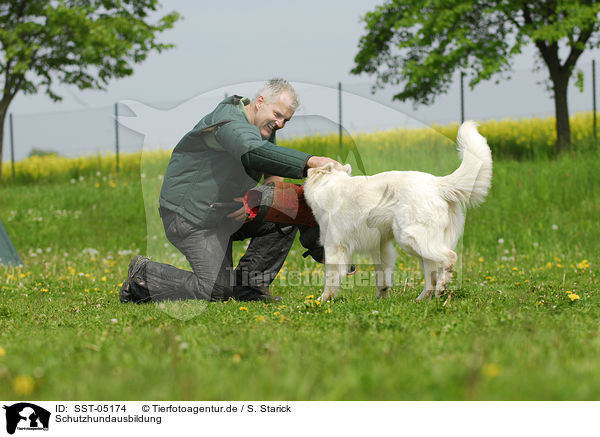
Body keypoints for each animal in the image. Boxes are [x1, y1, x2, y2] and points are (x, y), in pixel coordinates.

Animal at [304, 121, 492, 302]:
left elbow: (331, 277)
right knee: (431, 274)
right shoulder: (380, 247)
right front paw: (382, 298)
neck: (328, 185)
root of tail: (437, 183)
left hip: (410, 238)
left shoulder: (334, 246)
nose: (306, 169)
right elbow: (382, 277)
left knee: (449, 258)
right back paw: (422, 298)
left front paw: (323, 299)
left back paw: (441, 287)